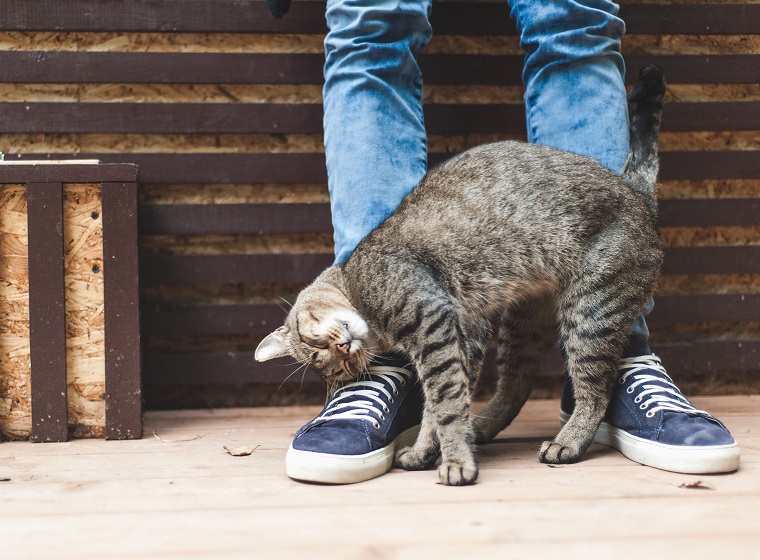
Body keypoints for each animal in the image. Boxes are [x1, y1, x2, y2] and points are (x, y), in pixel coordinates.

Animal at [255, 65, 664, 486]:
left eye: (314, 345)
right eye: (341, 369)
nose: (343, 349)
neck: (357, 285)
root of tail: (635, 191)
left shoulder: (433, 325)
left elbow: (445, 404)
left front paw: (454, 461)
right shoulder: (461, 335)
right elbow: (439, 406)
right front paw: (426, 450)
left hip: (591, 310)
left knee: (596, 390)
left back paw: (567, 442)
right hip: (522, 322)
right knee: (517, 384)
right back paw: (484, 426)